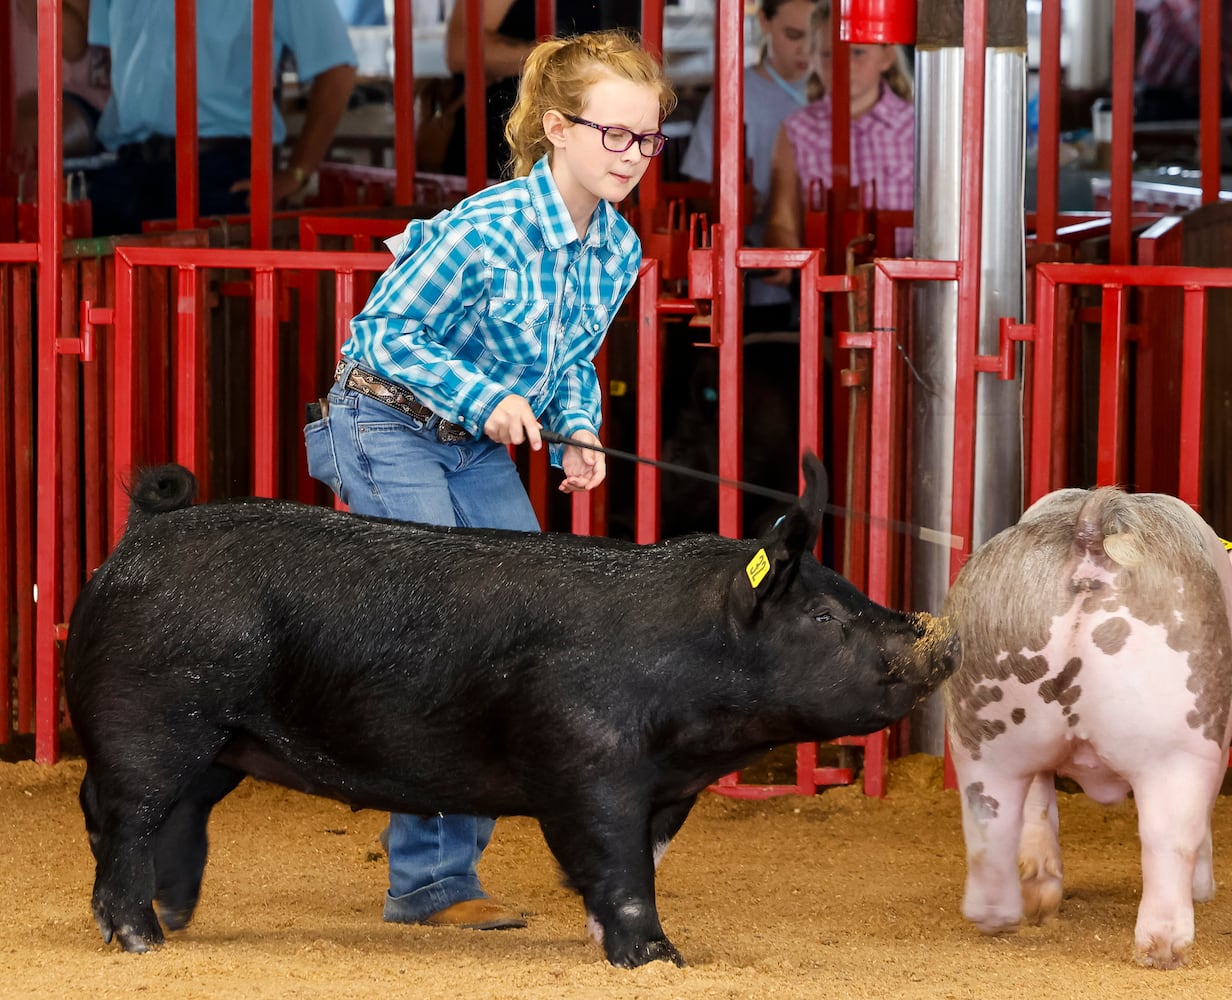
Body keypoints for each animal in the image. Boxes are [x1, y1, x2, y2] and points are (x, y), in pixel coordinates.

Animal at [62, 455, 956, 970]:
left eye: (851, 594)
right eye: (823, 618)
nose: (936, 637)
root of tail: (137, 540)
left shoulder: (668, 789)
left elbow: (636, 860)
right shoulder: (584, 760)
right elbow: (618, 864)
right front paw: (661, 960)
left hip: (223, 741)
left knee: (165, 817)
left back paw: (176, 917)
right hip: (151, 717)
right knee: (122, 816)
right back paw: (139, 941)